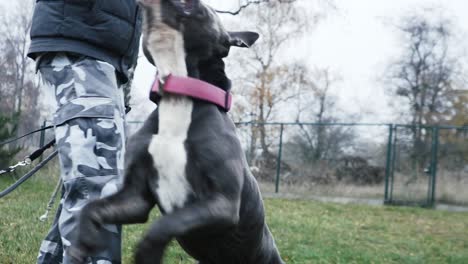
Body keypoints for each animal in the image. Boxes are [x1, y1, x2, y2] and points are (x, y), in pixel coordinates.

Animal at [68, 1, 284, 262]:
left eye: (196, 5)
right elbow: (91, 208)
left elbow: (163, 226)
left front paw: (146, 252)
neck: (177, 98)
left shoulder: (222, 202)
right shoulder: (134, 199)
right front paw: (82, 245)